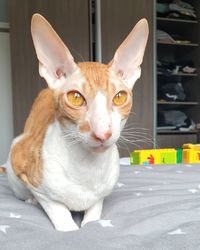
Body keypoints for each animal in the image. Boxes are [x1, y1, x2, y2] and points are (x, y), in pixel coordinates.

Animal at [4, 14, 148, 232]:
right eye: (76, 98)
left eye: (120, 97)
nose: (103, 133)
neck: (87, 167)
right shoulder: (35, 182)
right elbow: (61, 214)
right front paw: (69, 227)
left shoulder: (100, 196)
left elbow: (94, 213)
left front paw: (92, 223)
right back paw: (30, 200)